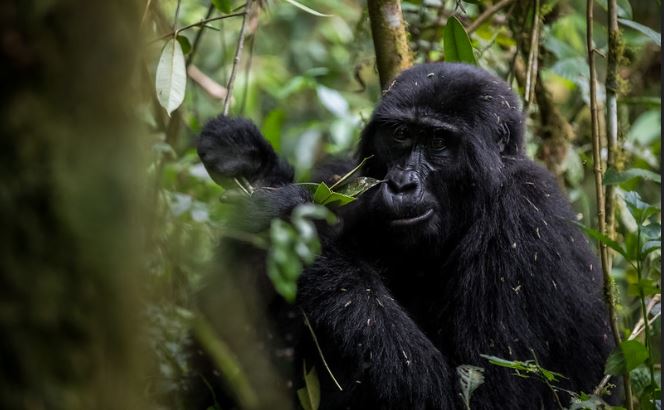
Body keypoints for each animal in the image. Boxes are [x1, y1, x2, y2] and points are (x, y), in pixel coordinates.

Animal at [196, 62, 612, 408]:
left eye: (438, 142)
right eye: (399, 134)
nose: (401, 185)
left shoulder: (523, 221)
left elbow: (489, 399)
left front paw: (289, 217)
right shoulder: (342, 176)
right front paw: (251, 163)